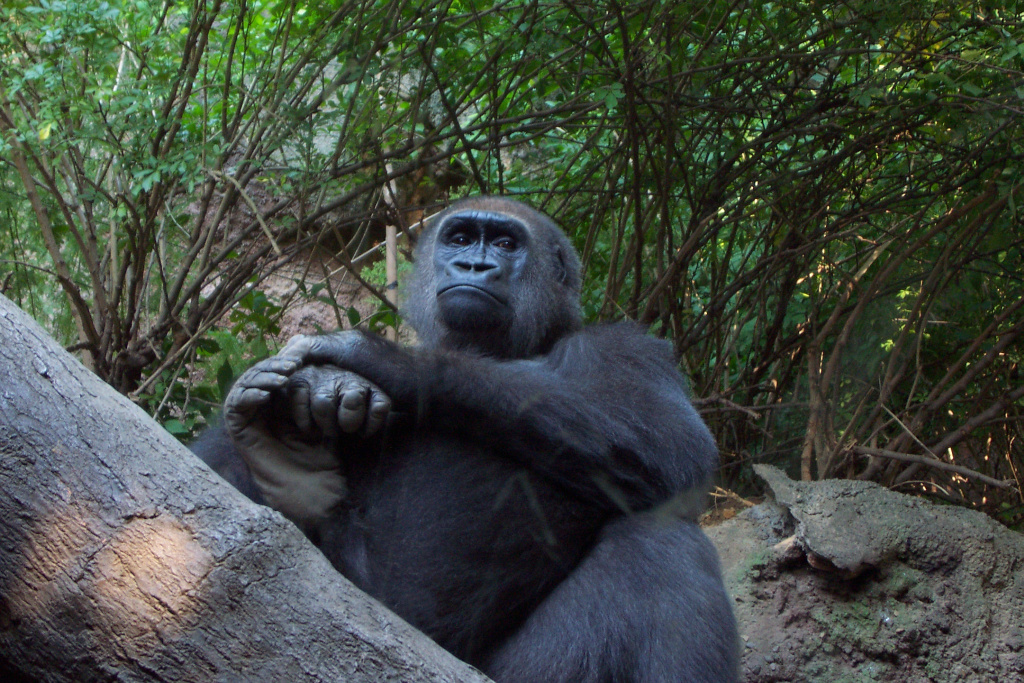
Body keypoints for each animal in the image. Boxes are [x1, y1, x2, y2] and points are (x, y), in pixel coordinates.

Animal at [190, 196, 737, 683]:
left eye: (504, 243)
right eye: (458, 238)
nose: (472, 265)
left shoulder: (630, 347)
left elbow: (671, 440)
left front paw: (377, 359)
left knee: (659, 540)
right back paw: (289, 468)